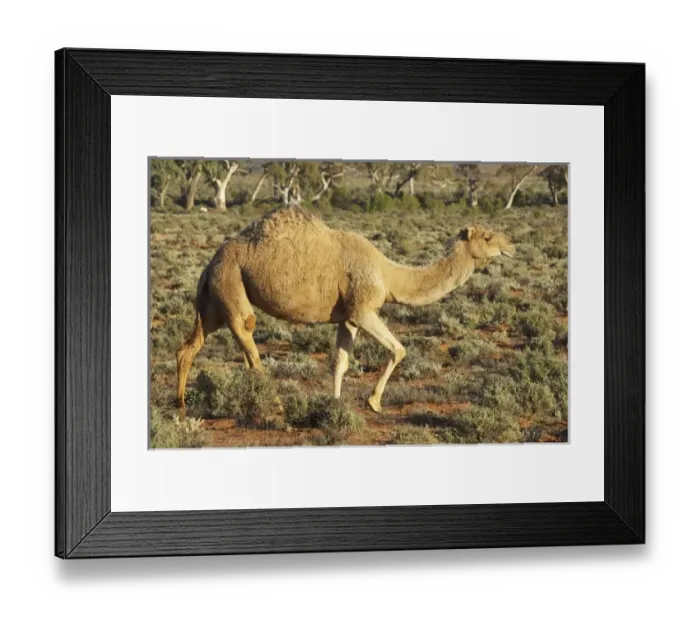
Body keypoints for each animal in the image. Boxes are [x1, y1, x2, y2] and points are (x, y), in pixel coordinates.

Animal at [176, 205, 516, 413]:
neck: (388, 274)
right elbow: (398, 349)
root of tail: (210, 264)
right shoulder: (364, 309)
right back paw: (278, 407)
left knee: (190, 348)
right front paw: (374, 402)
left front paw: (335, 406)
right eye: (487, 237)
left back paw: (180, 405)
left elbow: (340, 362)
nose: (511, 245)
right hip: (230, 282)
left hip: (213, 301)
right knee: (250, 344)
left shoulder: (349, 317)